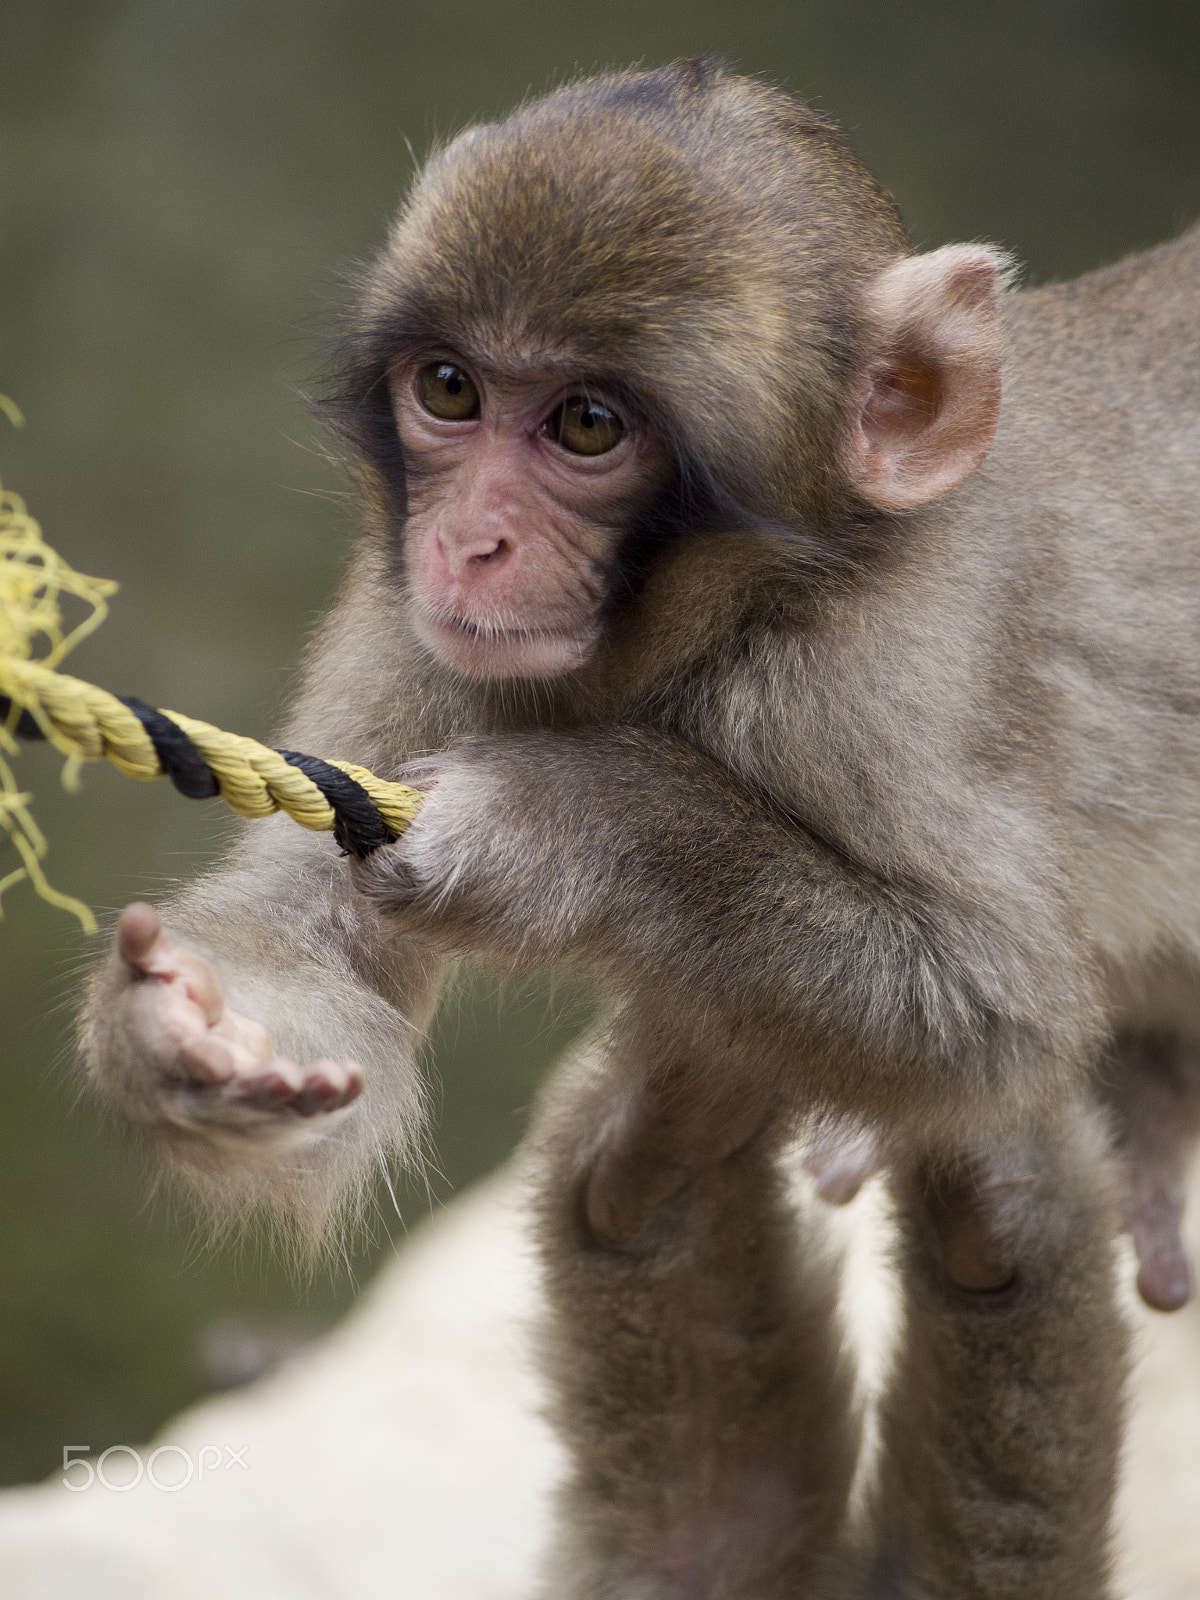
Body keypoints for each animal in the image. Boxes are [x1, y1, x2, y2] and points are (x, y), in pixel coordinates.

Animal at [79, 59, 1200, 1598]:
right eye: (450, 391)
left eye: (587, 428)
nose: (469, 543)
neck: (730, 614)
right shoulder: (406, 622)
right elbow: (319, 956)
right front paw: (195, 1029)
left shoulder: (882, 677)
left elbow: (991, 1010)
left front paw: (560, 832)